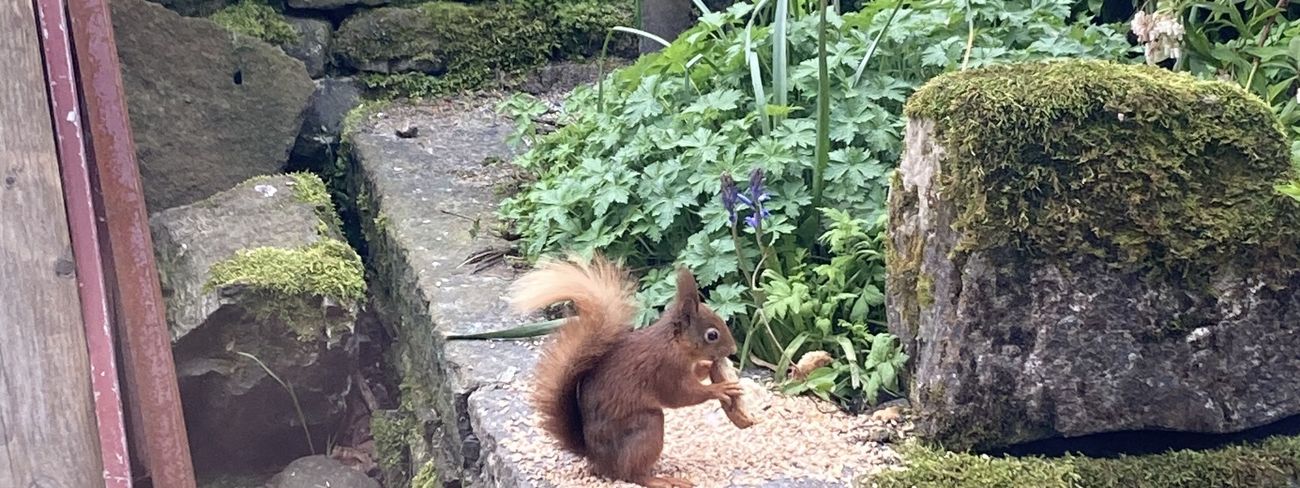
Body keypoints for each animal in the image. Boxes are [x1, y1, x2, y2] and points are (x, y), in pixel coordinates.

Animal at [508, 254, 742, 488]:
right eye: (712, 335)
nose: (733, 350)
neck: (673, 343)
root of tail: (596, 458)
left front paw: (708, 367)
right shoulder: (666, 369)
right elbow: (681, 396)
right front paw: (721, 389)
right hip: (647, 427)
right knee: (631, 474)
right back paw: (659, 479)